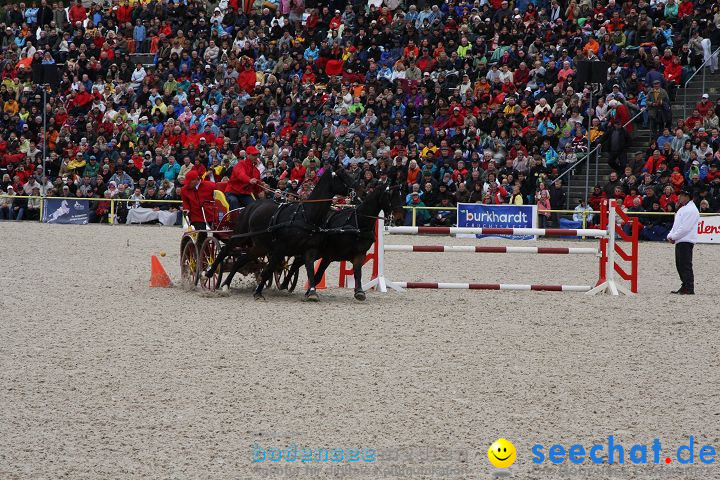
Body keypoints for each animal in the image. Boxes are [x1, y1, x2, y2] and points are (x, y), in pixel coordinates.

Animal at [202, 167, 354, 298]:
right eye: (342, 176)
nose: (355, 191)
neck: (305, 215)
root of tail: (249, 206)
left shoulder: (308, 249)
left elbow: (309, 268)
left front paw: (311, 292)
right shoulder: (280, 248)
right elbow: (269, 270)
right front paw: (259, 292)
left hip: (259, 246)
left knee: (241, 259)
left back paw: (226, 285)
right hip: (240, 236)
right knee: (224, 250)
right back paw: (208, 273)